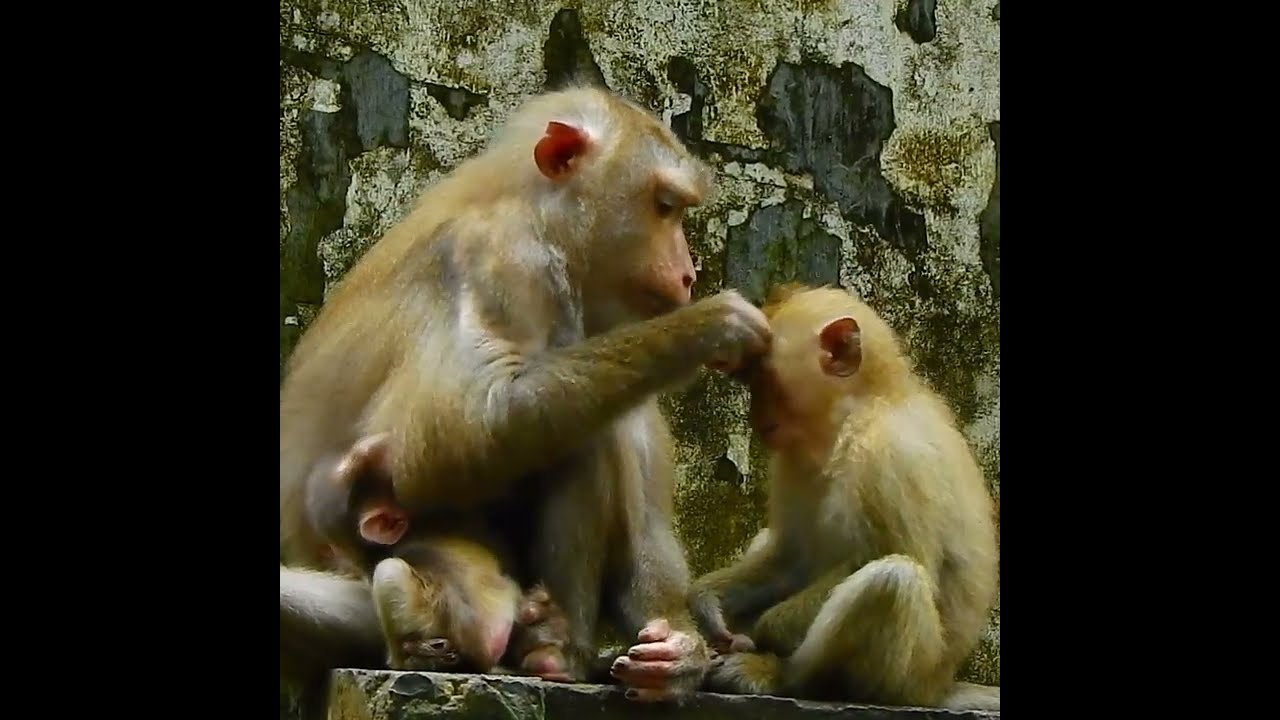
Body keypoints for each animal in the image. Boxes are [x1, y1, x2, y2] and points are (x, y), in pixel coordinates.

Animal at [688, 283, 1000, 711]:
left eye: (762, 376)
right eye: (749, 379)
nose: (755, 415)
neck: (854, 412)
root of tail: (938, 686)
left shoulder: (888, 455)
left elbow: (892, 556)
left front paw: (765, 631)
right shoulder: (792, 461)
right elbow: (793, 556)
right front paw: (707, 604)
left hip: (906, 679)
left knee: (893, 580)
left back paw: (780, 677)